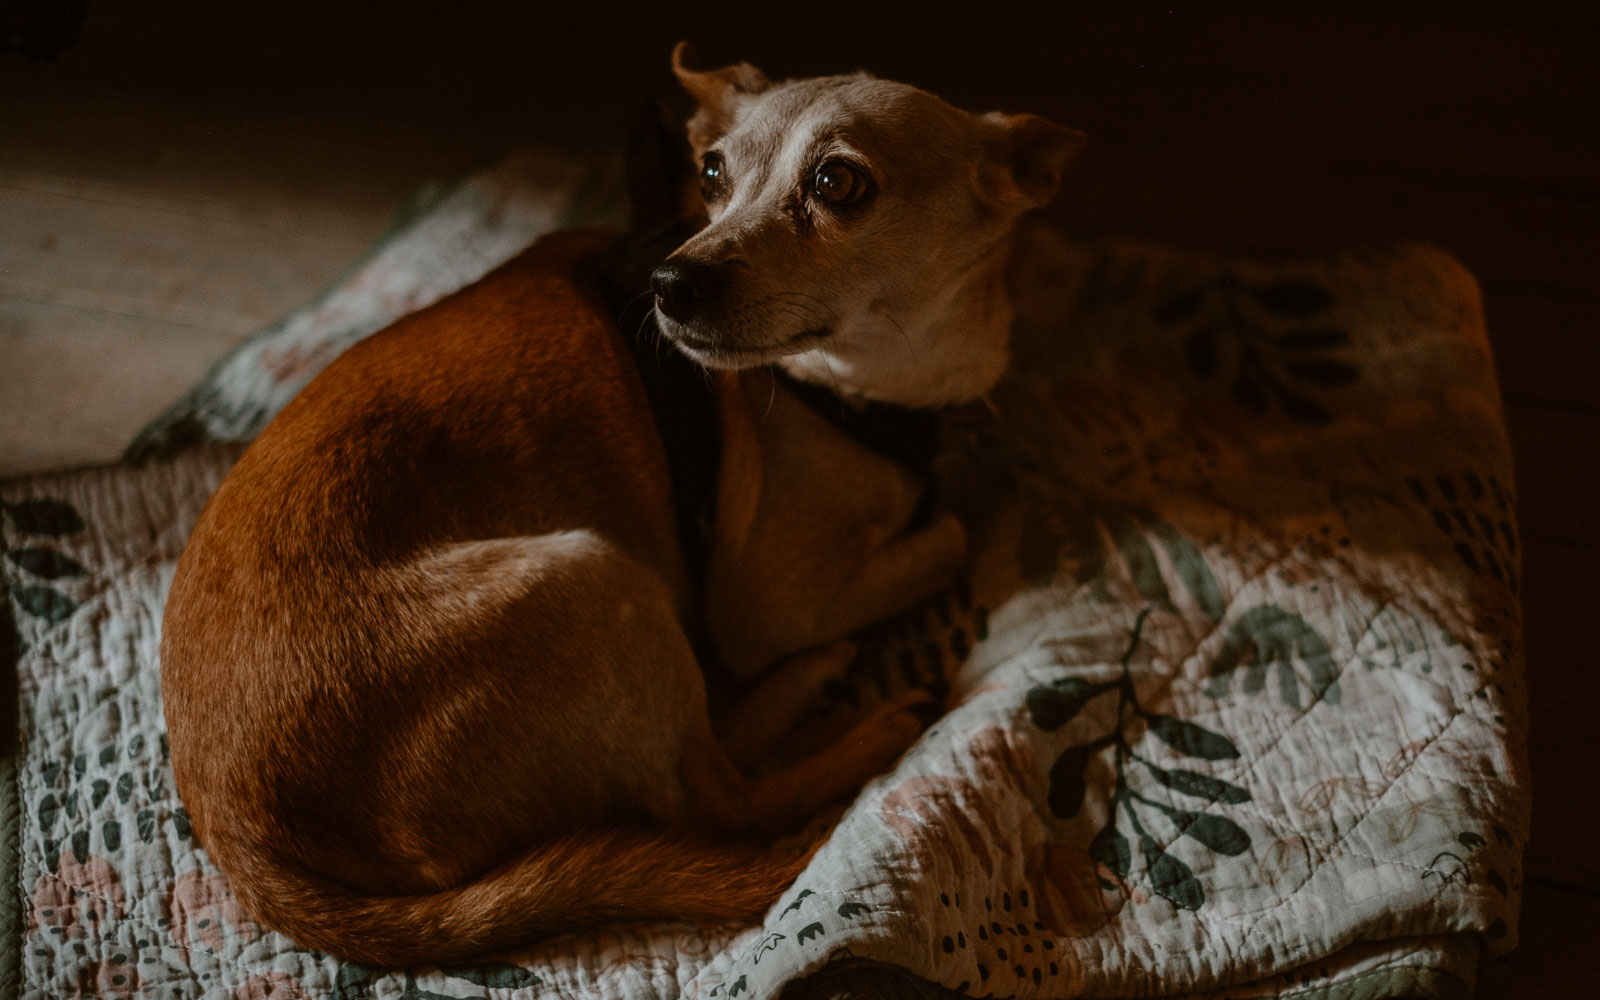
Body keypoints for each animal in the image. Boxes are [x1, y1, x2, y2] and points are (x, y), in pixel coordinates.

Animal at [159, 44, 1088, 966]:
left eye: (837, 182)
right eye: (712, 172)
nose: (670, 282)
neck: (871, 382)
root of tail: (243, 842)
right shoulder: (766, 608)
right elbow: (954, 526)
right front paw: (988, 484)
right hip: (598, 582)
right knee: (716, 800)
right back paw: (856, 716)